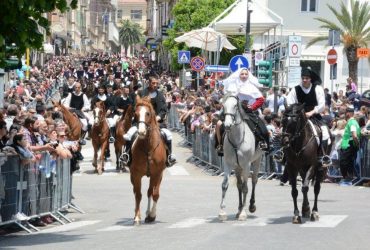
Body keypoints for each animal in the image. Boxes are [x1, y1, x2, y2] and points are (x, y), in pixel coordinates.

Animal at [129, 95, 165, 225]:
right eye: (136, 113)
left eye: (148, 113)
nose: (141, 132)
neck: (148, 146)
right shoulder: (136, 174)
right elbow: (138, 195)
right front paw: (137, 217)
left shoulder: (157, 174)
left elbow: (155, 194)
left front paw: (152, 215)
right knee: (136, 192)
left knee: (150, 192)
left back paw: (148, 214)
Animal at [220, 92, 264, 221]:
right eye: (223, 106)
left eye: (235, 106)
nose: (227, 125)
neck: (237, 138)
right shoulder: (228, 163)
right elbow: (225, 185)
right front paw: (222, 212)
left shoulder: (246, 165)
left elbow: (245, 187)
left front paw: (243, 213)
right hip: (237, 167)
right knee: (239, 185)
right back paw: (239, 208)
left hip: (257, 160)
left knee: (254, 181)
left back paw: (251, 206)